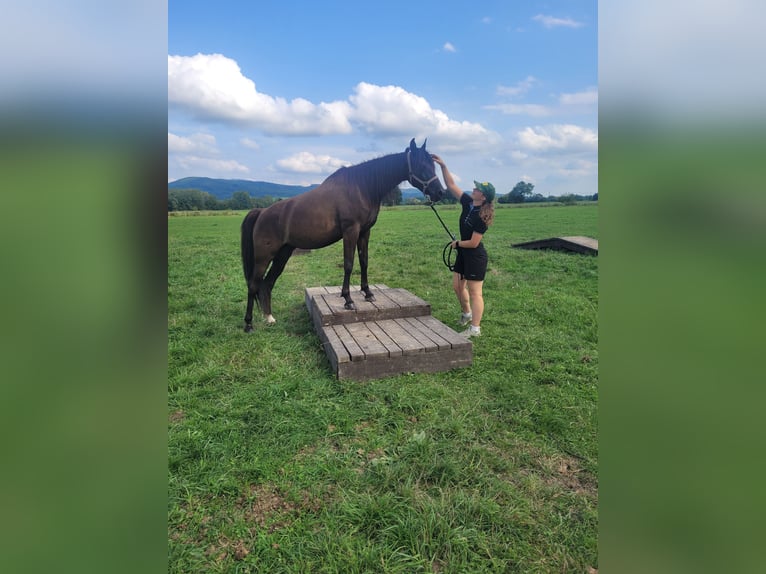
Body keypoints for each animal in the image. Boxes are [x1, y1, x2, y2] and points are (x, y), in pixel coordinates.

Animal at [240, 138, 444, 332]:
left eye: (432, 165)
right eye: (422, 165)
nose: (440, 192)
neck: (362, 187)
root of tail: (261, 212)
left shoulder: (364, 232)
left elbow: (364, 262)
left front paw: (368, 293)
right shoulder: (351, 231)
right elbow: (348, 264)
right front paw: (348, 300)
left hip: (283, 254)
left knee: (267, 284)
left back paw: (269, 318)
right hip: (263, 257)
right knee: (253, 285)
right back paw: (248, 324)